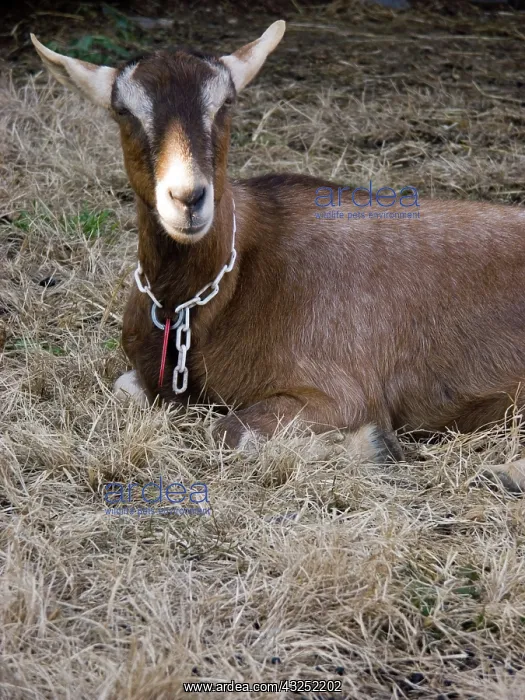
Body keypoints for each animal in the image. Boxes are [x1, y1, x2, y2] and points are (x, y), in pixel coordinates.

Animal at [32, 24, 525, 486]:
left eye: (226, 103)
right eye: (123, 111)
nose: (188, 198)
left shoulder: (340, 391)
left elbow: (227, 431)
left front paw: (374, 446)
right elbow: (124, 387)